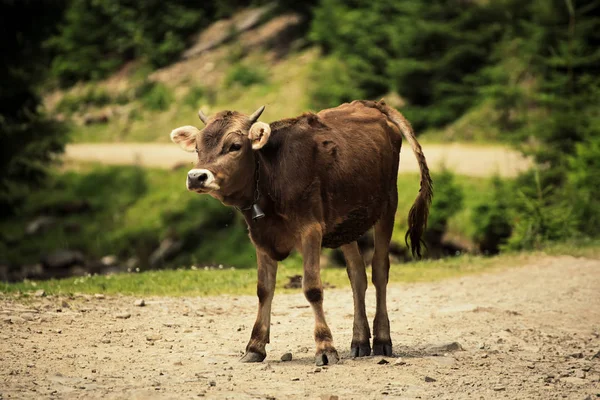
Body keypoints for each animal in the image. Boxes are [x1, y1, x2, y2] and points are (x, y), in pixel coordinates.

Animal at [169, 100, 432, 366]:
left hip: (388, 206)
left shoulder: (310, 230)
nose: (196, 177)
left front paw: (325, 347)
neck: (273, 177)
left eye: (235, 146)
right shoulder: (260, 236)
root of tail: (370, 104)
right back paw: (359, 341)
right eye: (198, 148)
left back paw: (381, 339)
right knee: (357, 275)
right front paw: (255, 346)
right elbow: (264, 290)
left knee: (379, 270)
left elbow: (312, 289)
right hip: (347, 223)